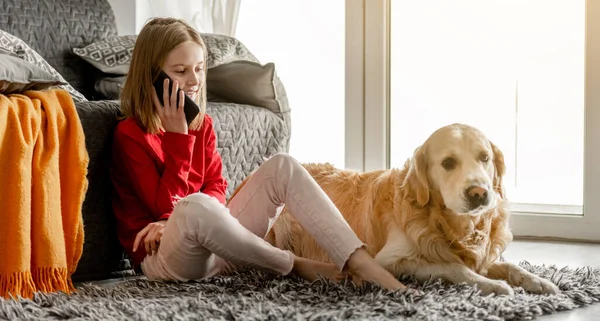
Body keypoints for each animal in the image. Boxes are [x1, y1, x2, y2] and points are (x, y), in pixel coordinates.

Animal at [233, 122, 556, 296]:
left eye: (485, 158)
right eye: (448, 162)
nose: (479, 193)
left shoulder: (482, 254)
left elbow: (508, 265)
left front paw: (539, 281)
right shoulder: (392, 260)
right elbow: (454, 266)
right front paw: (494, 285)